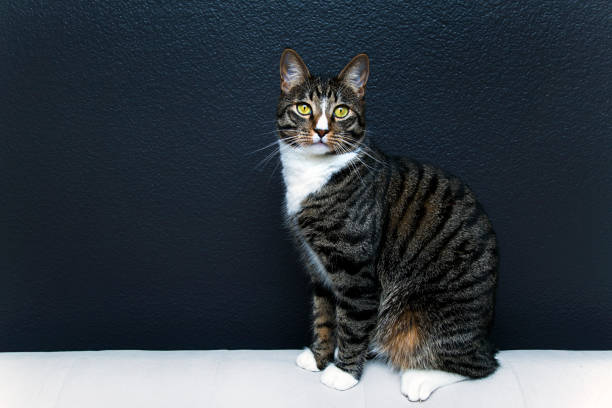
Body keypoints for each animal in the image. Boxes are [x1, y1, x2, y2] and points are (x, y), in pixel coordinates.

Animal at [274, 48, 500, 402]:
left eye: (340, 111)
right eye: (304, 108)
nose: (322, 131)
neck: (313, 175)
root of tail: (484, 336)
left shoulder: (356, 270)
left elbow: (352, 322)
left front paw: (343, 373)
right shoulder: (316, 266)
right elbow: (324, 315)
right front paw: (320, 356)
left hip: (427, 313)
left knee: (480, 366)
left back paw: (418, 379)